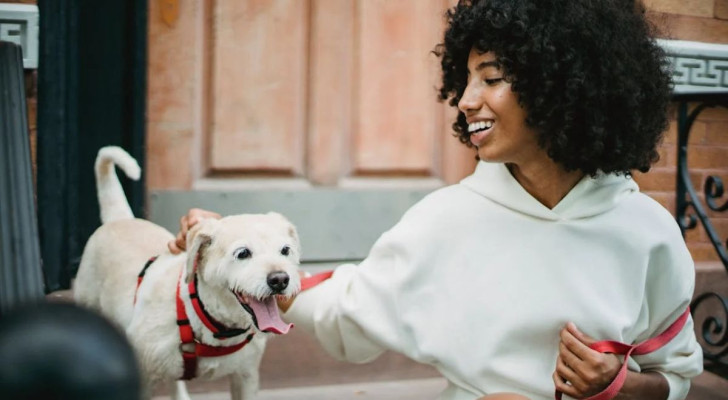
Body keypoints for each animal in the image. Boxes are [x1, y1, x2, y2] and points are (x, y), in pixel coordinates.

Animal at [74, 147, 302, 400]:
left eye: (285, 250)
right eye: (243, 253)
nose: (280, 280)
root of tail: (121, 219)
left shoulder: (246, 377)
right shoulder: (143, 376)